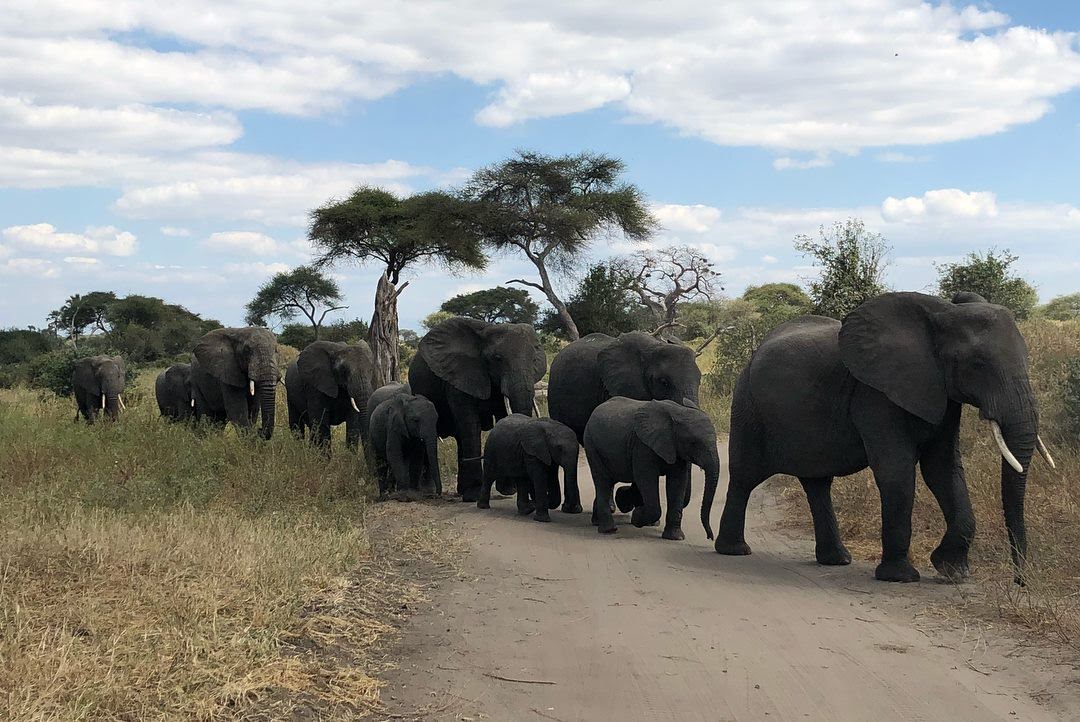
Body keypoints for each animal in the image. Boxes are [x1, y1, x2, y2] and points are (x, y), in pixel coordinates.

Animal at [409, 317, 546, 502]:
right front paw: (474, 494)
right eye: (497, 358)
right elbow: (470, 423)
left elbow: (502, 416)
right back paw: (431, 491)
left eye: (534, 359)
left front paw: (509, 489)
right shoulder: (459, 376)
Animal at [585, 397, 720, 540]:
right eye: (693, 443)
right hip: (592, 446)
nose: (710, 537)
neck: (678, 411)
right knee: (603, 482)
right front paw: (636, 517)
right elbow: (646, 479)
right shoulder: (642, 446)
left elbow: (677, 482)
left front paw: (675, 537)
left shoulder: (675, 448)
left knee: (608, 482)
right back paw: (609, 530)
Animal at [709, 291, 1055, 584]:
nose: (1019, 581)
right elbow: (896, 470)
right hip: (747, 404)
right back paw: (734, 550)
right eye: (978, 364)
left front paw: (953, 572)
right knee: (745, 476)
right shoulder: (875, 394)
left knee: (817, 483)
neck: (942, 314)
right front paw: (901, 577)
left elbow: (943, 468)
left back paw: (837, 560)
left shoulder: (943, 395)